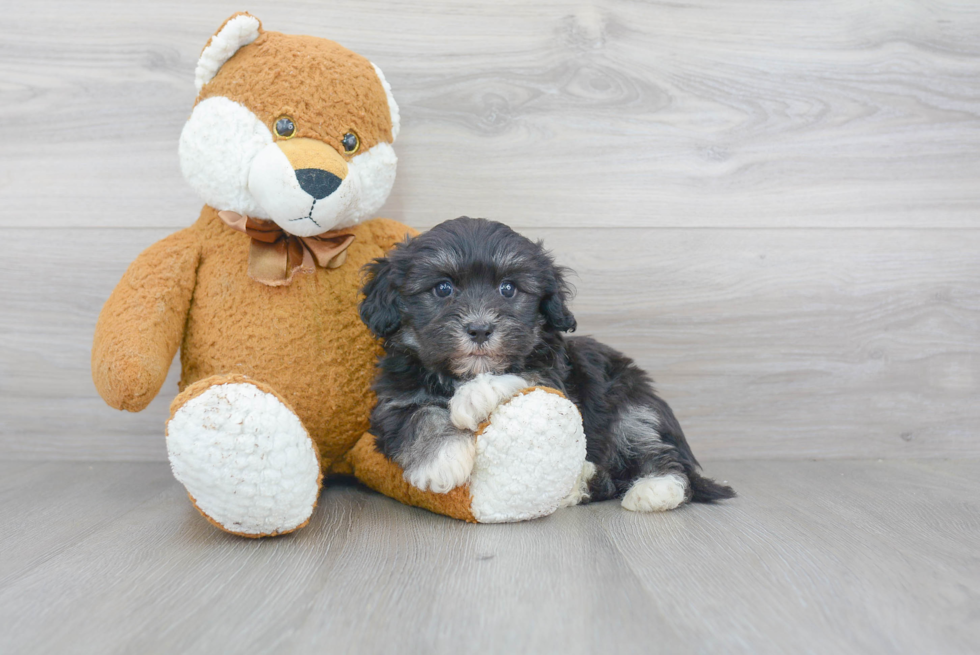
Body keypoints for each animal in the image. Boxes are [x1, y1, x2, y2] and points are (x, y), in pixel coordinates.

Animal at [360, 218, 736, 516]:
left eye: (508, 289)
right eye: (442, 288)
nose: (479, 329)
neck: (458, 374)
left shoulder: (552, 376)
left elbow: (522, 373)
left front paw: (474, 397)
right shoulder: (393, 400)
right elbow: (415, 418)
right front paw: (443, 459)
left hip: (632, 407)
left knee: (656, 452)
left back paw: (655, 490)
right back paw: (580, 483)